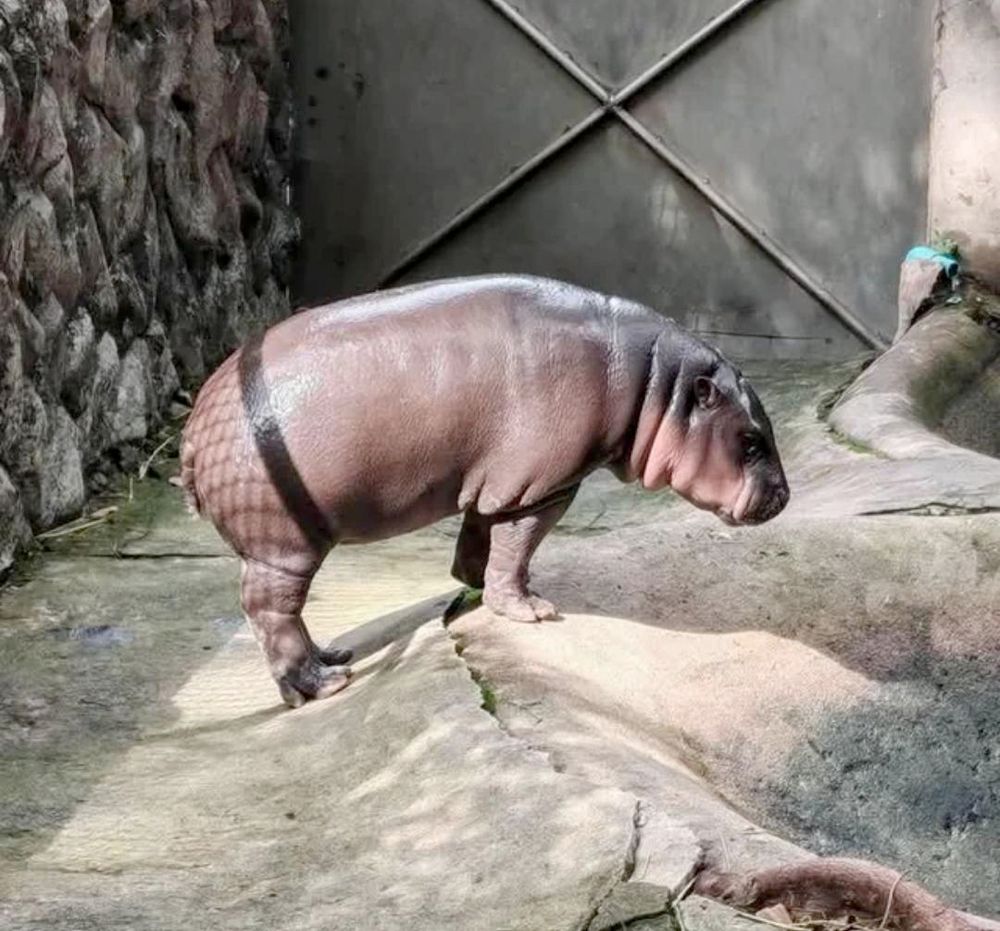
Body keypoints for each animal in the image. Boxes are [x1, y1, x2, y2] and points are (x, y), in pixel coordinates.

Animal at [180, 275, 789, 707]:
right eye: (751, 440)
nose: (784, 497)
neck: (655, 385)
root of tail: (194, 424)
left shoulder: (497, 480)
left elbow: (481, 537)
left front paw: (471, 585)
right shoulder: (543, 485)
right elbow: (517, 545)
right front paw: (533, 611)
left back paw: (336, 656)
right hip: (284, 544)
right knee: (270, 610)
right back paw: (322, 686)